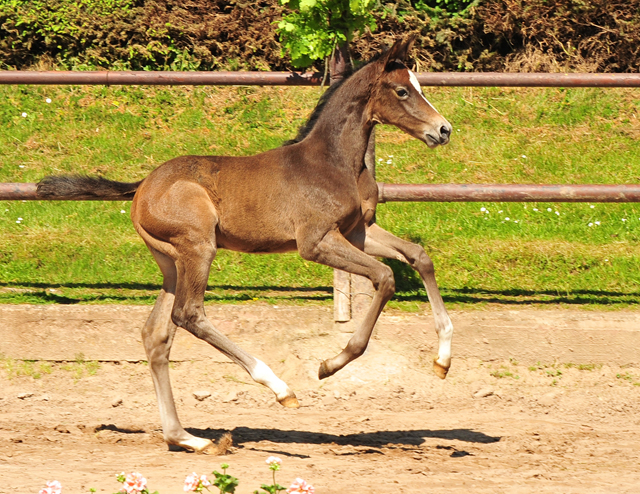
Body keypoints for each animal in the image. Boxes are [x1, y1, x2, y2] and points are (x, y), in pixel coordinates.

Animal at [36, 36, 456, 454]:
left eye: (419, 86)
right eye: (402, 91)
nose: (444, 130)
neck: (334, 163)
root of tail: (140, 188)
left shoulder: (358, 233)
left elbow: (419, 257)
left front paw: (443, 362)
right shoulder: (316, 242)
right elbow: (385, 277)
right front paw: (330, 364)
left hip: (171, 263)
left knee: (156, 334)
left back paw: (188, 438)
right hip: (199, 248)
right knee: (189, 315)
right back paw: (279, 389)